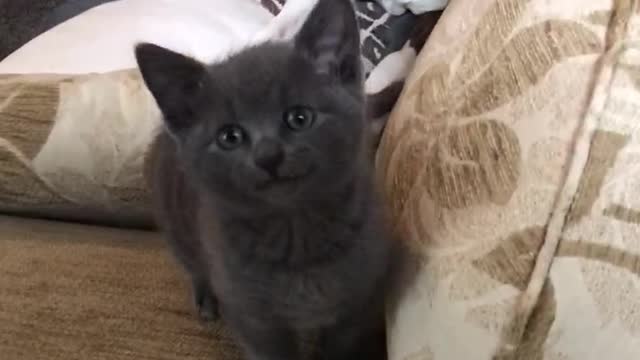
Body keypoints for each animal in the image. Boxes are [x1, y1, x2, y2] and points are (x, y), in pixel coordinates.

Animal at [136, 1, 396, 358]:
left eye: (299, 117)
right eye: (229, 137)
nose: (268, 155)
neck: (296, 235)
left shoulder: (357, 305)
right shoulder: (255, 321)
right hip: (173, 220)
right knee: (192, 263)